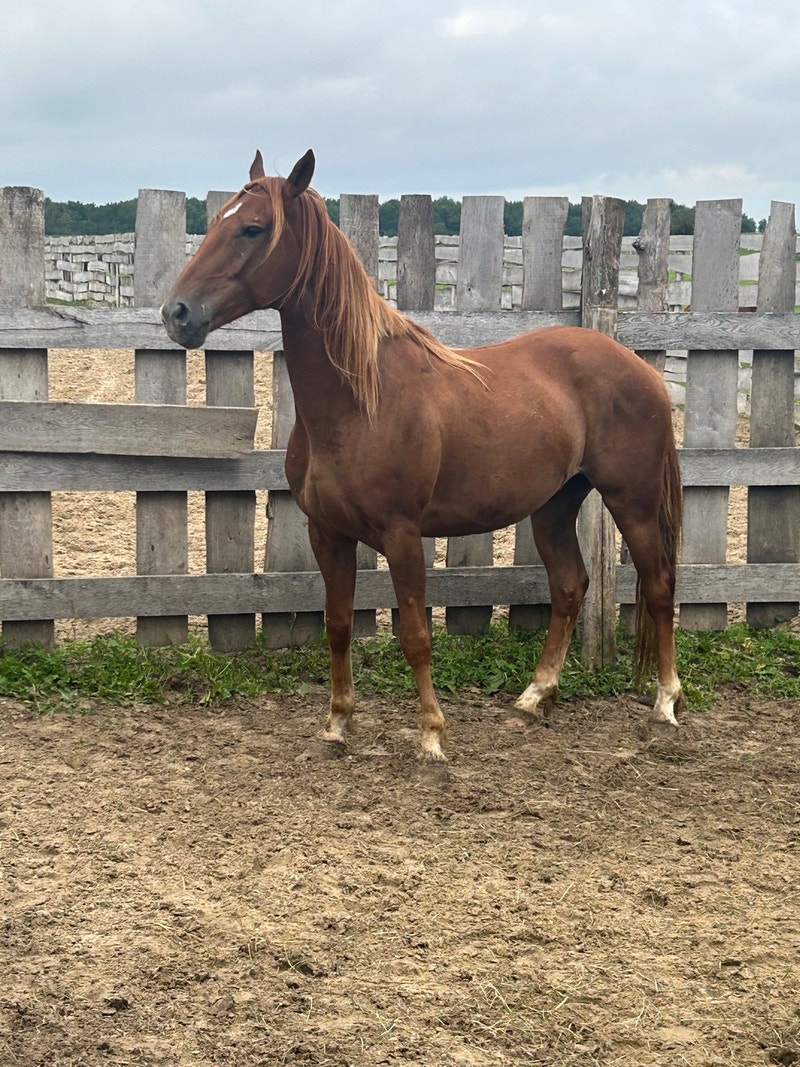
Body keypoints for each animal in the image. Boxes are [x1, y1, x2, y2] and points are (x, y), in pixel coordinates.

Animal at [162, 149, 684, 762]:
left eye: (253, 228)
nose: (177, 313)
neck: (361, 401)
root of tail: (641, 368)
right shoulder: (326, 532)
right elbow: (338, 625)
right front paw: (338, 722)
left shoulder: (402, 534)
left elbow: (414, 635)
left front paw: (432, 735)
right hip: (554, 505)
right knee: (570, 586)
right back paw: (535, 696)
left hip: (633, 502)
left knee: (658, 586)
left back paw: (665, 704)